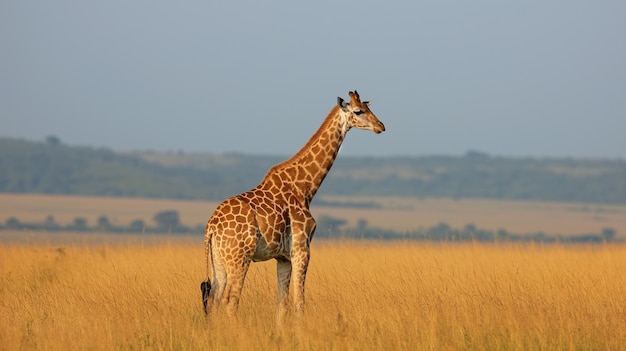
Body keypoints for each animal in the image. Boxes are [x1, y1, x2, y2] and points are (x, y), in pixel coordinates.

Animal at [200, 91, 386, 320]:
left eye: (369, 108)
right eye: (358, 111)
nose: (381, 126)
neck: (305, 188)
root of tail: (211, 227)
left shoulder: (283, 258)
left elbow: (282, 305)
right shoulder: (301, 249)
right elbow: (299, 304)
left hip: (219, 259)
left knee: (214, 300)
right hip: (239, 256)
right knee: (230, 301)